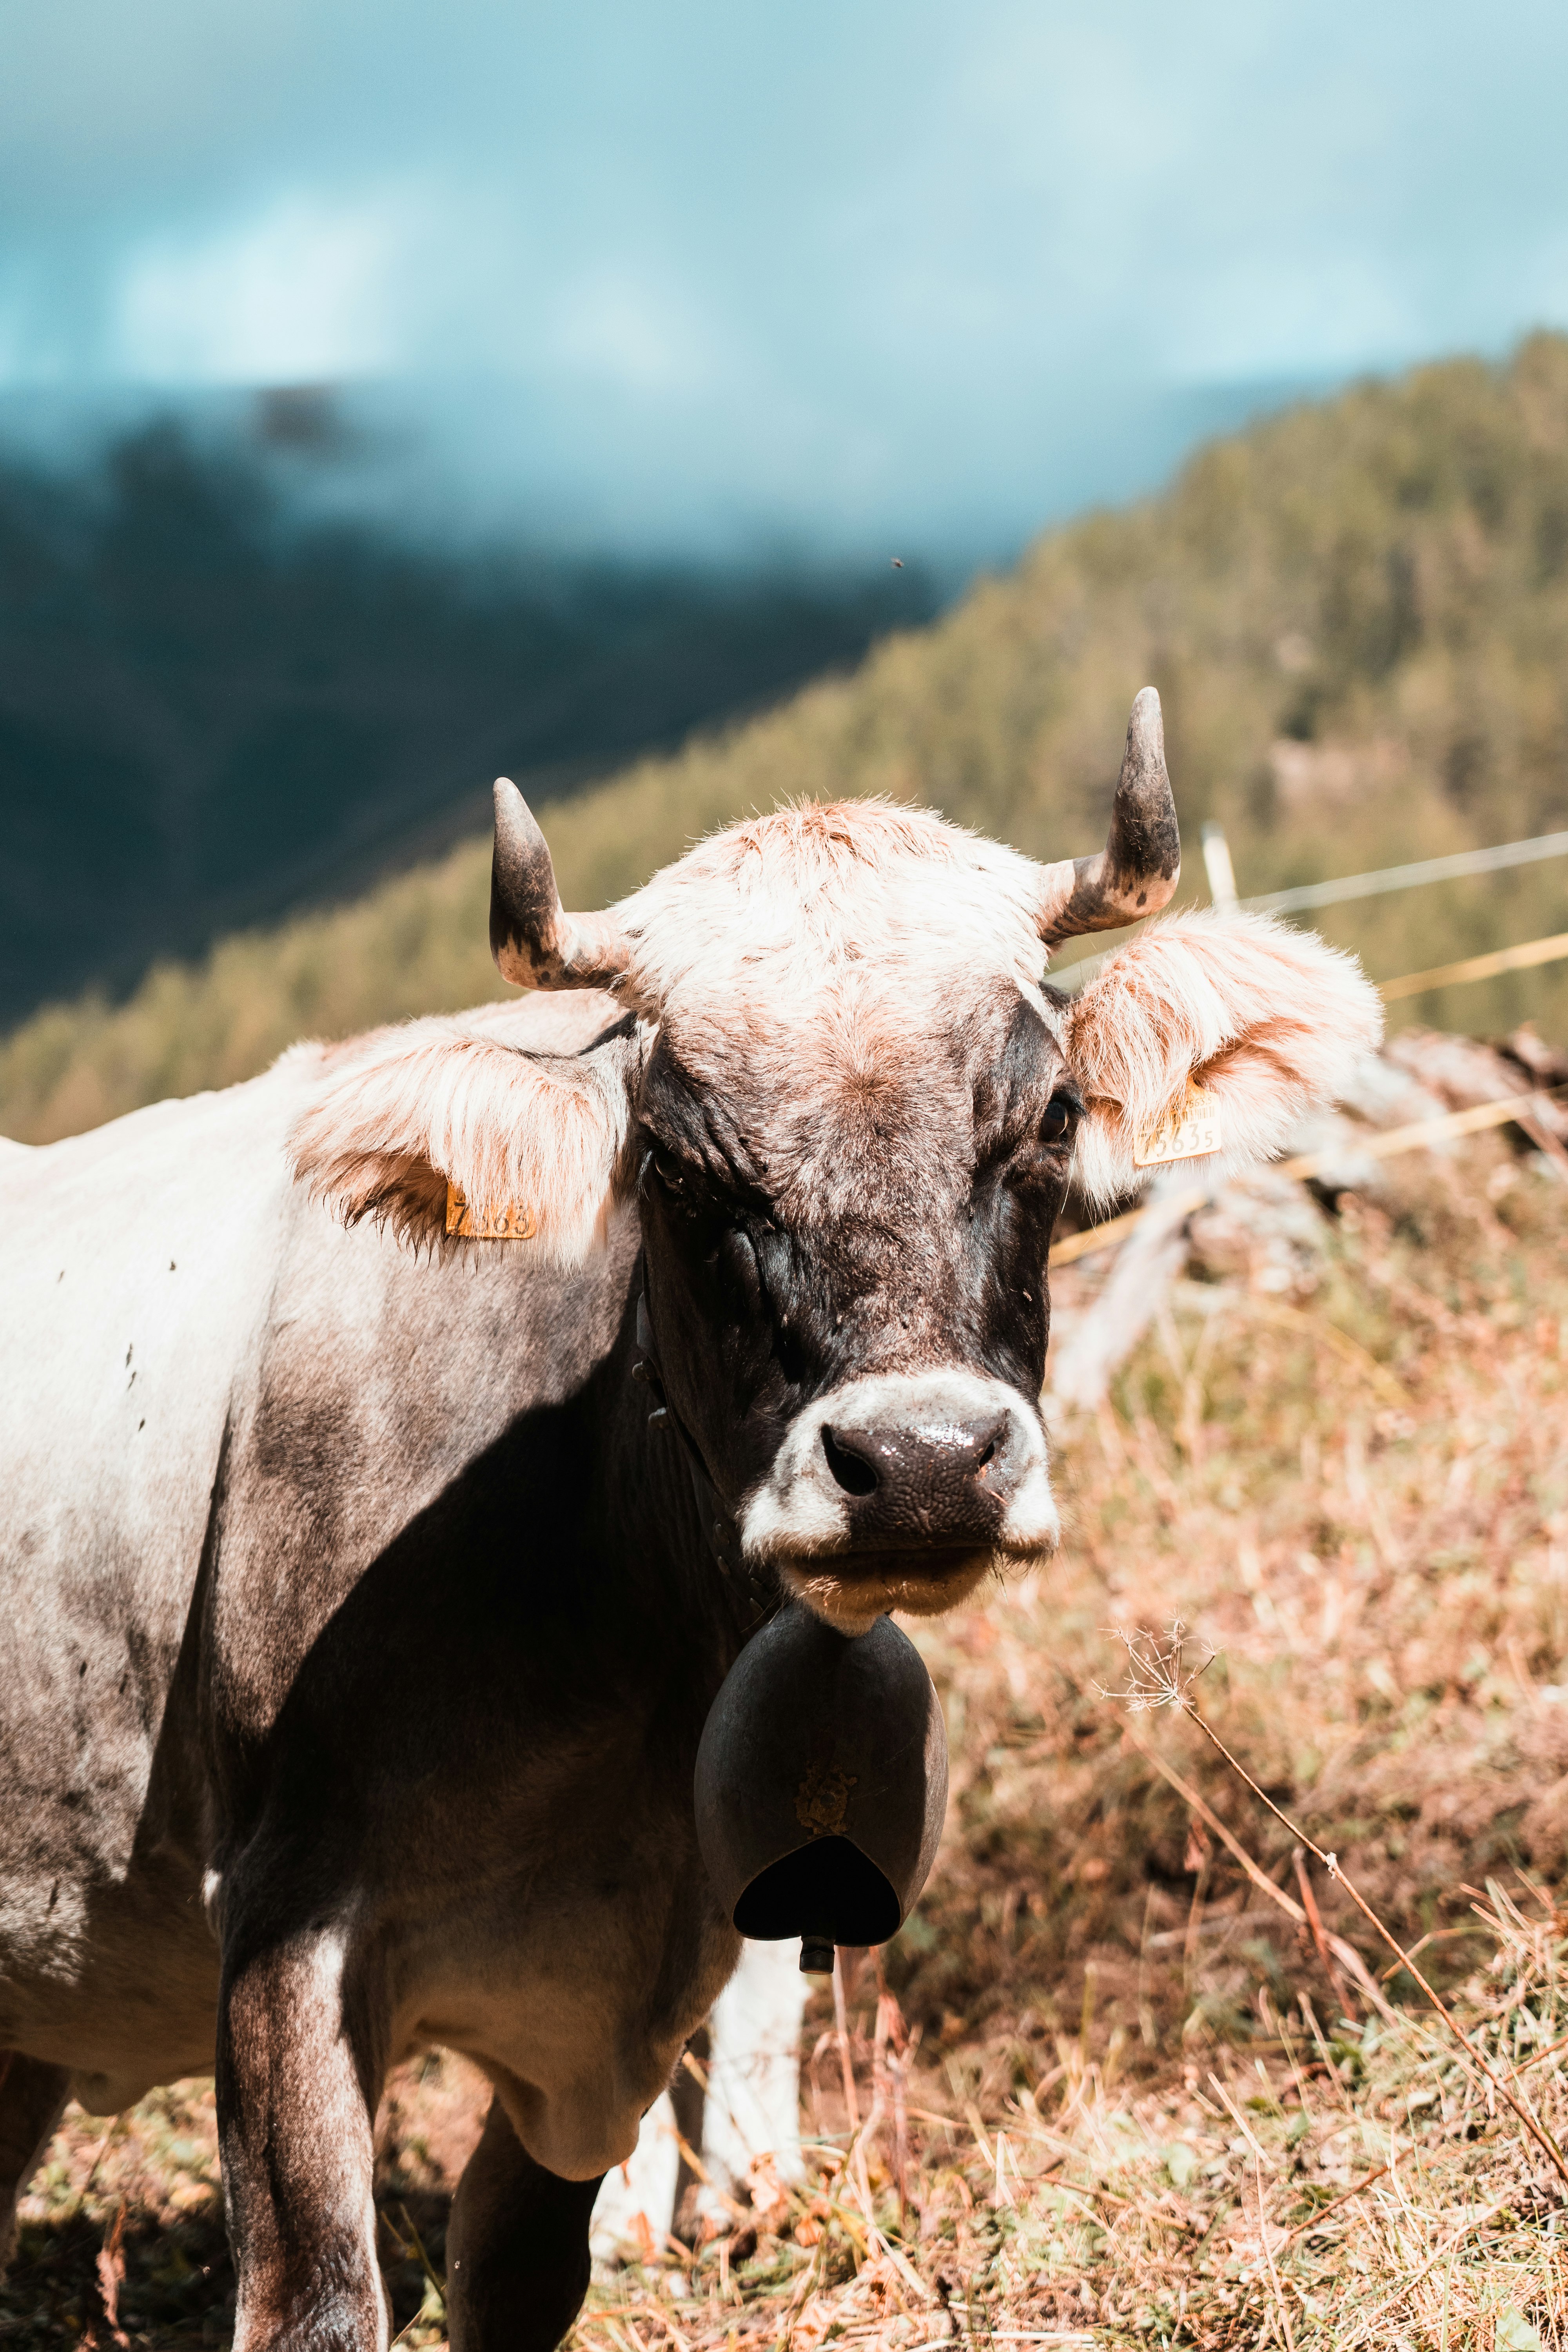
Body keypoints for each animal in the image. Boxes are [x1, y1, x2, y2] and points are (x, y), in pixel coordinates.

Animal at [0, 687, 1373, 2343]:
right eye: (672, 1158)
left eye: (1049, 1116)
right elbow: (321, 2297)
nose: (921, 1458)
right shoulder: (281, 1925)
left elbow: (528, 2273)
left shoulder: (614, 2013)